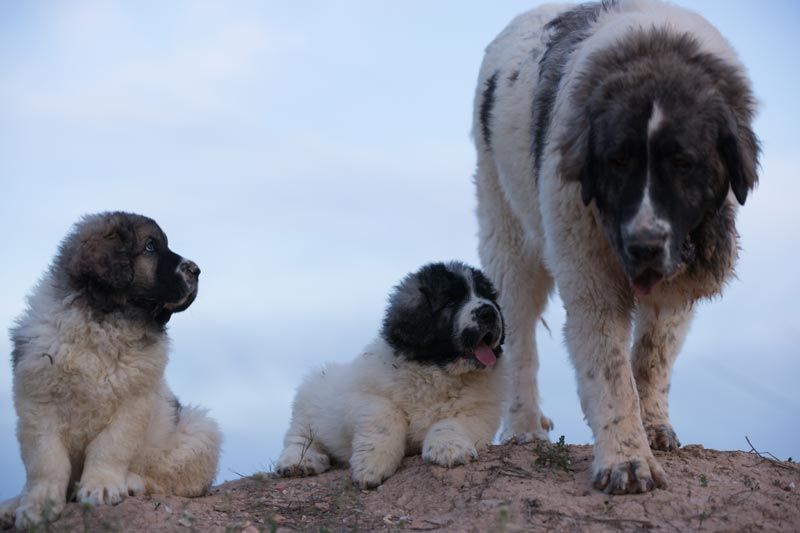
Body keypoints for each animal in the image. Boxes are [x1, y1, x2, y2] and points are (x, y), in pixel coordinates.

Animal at [0, 211, 222, 528]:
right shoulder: (38, 404)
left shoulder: (132, 404)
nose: (196, 270)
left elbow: (109, 447)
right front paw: (36, 506)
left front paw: (101, 487)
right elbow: (46, 461)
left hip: (197, 432)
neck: (104, 320)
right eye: (151, 247)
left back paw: (131, 481)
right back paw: (11, 505)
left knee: (169, 479)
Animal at [278, 260, 506, 488]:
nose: (489, 312)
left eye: (488, 296)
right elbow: (385, 415)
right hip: (307, 405)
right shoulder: (364, 397)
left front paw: (449, 448)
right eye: (451, 301)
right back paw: (300, 461)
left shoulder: (479, 411)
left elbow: (451, 423)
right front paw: (372, 465)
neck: (437, 372)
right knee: (299, 438)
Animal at [472, 0, 760, 490]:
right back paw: (524, 426)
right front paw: (625, 460)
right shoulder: (590, 276)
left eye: (683, 163)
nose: (644, 245)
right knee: (518, 332)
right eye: (617, 161)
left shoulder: (677, 276)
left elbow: (651, 355)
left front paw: (653, 424)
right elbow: (610, 372)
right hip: (507, 229)